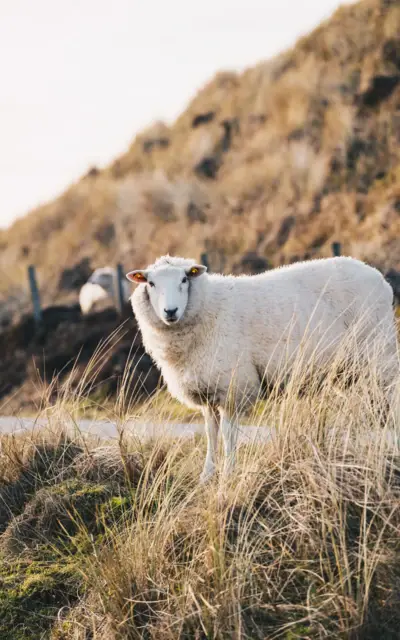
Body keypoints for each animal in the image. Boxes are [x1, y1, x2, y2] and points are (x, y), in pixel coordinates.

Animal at [126, 256, 398, 484]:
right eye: (151, 283)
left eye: (184, 279)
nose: (170, 311)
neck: (208, 307)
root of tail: (379, 278)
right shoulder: (208, 389)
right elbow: (210, 433)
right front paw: (207, 475)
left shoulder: (233, 385)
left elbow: (228, 434)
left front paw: (228, 474)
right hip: (351, 369)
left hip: (380, 353)